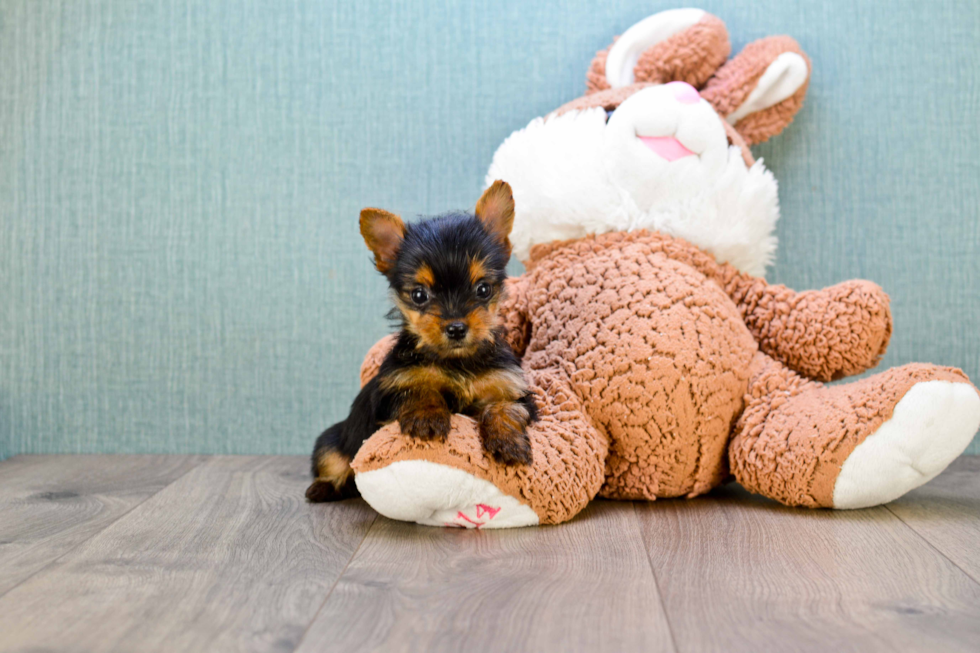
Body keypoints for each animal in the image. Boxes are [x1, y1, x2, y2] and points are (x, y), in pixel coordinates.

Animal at [306, 178, 536, 500]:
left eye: (483, 289)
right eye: (419, 295)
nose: (456, 328)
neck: (456, 360)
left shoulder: (511, 388)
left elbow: (505, 407)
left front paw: (508, 441)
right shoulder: (391, 390)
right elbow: (418, 388)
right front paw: (427, 418)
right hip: (334, 438)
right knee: (334, 459)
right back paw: (325, 487)